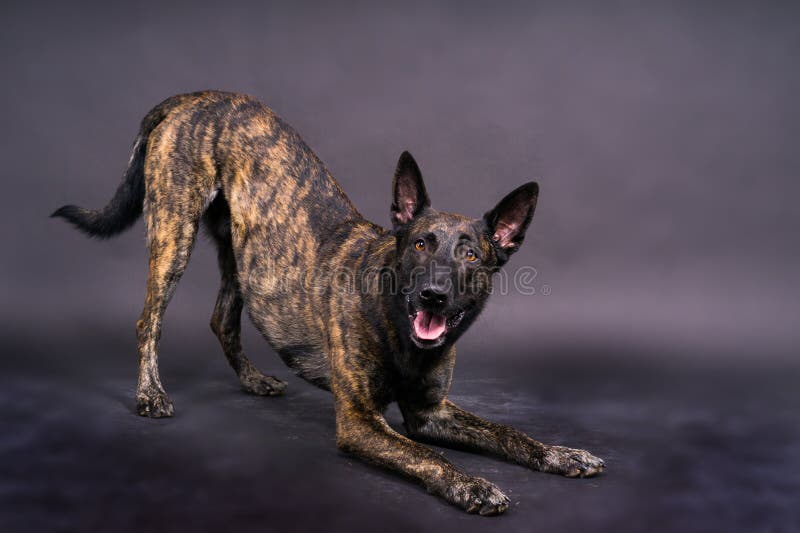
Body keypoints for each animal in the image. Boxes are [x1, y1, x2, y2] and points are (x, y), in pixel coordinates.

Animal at [53, 91, 604, 516]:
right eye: (420, 244)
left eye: (470, 255)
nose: (434, 294)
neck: (396, 324)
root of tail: (197, 96)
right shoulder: (360, 422)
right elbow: (428, 457)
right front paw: (473, 484)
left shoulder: (431, 413)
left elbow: (508, 433)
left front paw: (559, 453)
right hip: (174, 231)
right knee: (149, 320)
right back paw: (150, 394)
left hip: (243, 255)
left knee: (221, 319)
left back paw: (253, 380)